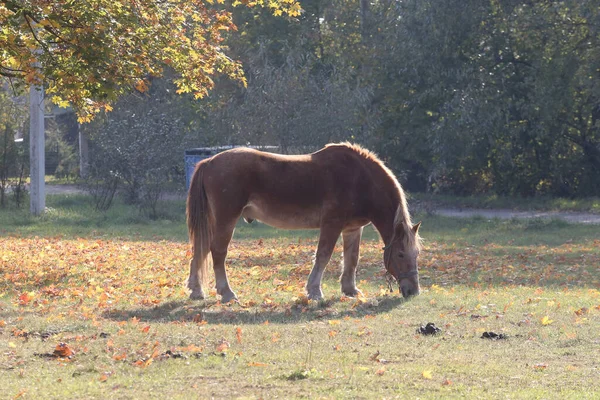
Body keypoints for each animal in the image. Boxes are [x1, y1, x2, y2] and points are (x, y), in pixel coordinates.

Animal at [185, 142, 420, 302]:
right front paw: (315, 291)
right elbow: (323, 256)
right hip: (226, 219)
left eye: (416, 254)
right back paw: (226, 292)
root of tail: (209, 162)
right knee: (217, 252)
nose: (413, 291)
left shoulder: (352, 229)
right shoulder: (331, 224)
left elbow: (352, 258)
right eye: (400, 254)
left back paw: (197, 290)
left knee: (201, 249)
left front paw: (350, 290)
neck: (360, 179)